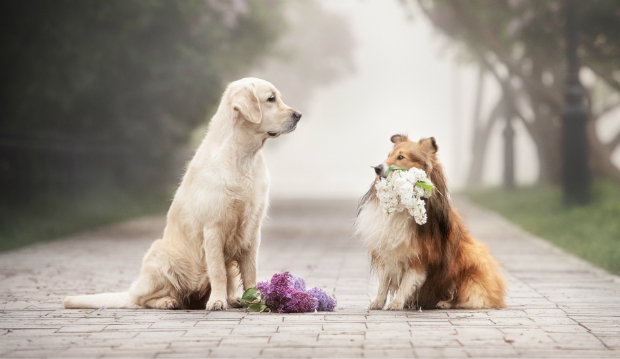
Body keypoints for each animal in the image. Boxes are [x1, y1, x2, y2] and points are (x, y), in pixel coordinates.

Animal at [64, 77, 302, 310]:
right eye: (270, 99)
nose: (298, 115)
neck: (243, 158)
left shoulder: (252, 229)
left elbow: (250, 272)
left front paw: (255, 301)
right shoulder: (213, 228)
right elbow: (218, 271)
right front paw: (217, 301)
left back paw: (233, 299)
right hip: (161, 256)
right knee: (142, 298)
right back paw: (169, 301)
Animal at [356, 134, 506, 310]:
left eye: (401, 157)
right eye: (388, 155)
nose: (377, 168)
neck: (403, 205)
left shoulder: (420, 257)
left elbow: (406, 283)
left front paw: (397, 303)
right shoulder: (385, 251)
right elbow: (383, 283)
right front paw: (378, 303)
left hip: (470, 258)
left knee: (466, 296)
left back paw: (444, 303)